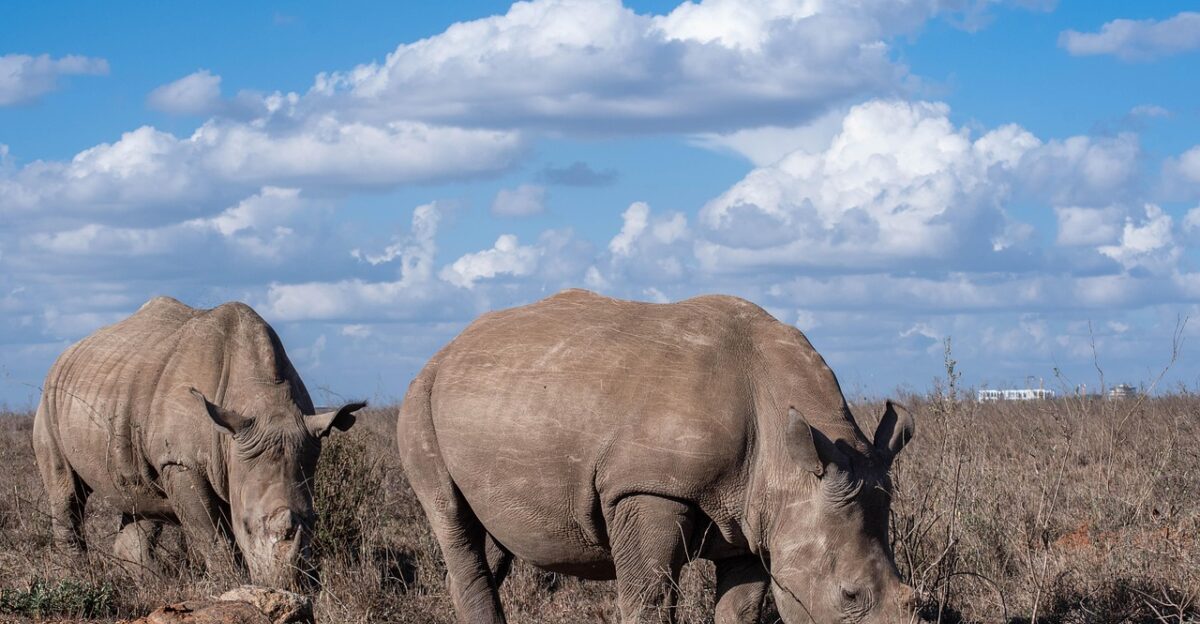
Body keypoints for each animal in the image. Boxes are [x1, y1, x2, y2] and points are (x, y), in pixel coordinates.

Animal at [33, 296, 365, 588]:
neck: (265, 401)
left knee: (141, 497)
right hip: (49, 400)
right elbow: (212, 533)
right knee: (66, 492)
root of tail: (65, 355)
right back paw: (78, 580)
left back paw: (153, 585)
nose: (290, 586)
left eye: (315, 519)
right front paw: (231, 584)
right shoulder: (182, 461)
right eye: (246, 524)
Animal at [398, 289, 924, 623]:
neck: (788, 457)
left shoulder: (756, 513)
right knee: (450, 517)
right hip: (418, 400)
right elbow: (649, 597)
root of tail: (447, 349)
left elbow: (741, 607)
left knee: (489, 541)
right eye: (849, 595)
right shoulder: (648, 487)